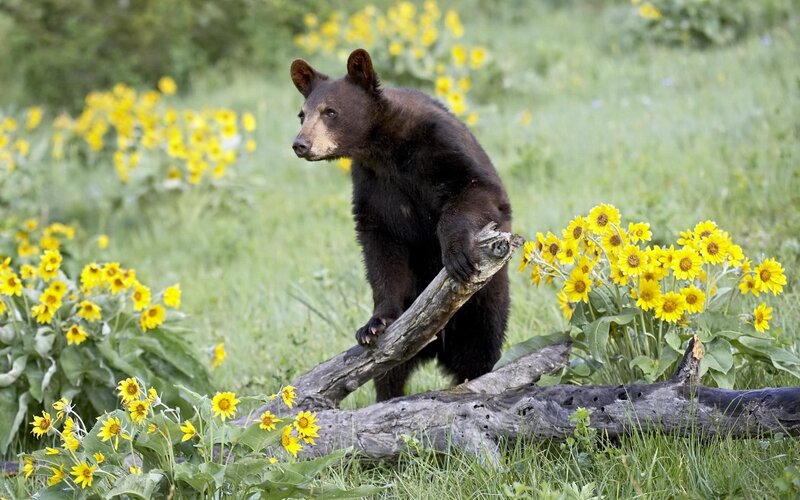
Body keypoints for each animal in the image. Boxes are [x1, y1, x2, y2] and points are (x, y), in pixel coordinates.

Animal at [290, 48, 511, 401]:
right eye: (302, 114)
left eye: (330, 112)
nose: (301, 144)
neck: (385, 149)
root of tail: (438, 349)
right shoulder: (373, 185)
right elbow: (381, 246)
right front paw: (374, 324)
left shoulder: (442, 145)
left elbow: (477, 189)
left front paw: (457, 255)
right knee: (389, 372)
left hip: (484, 306)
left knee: (480, 351)